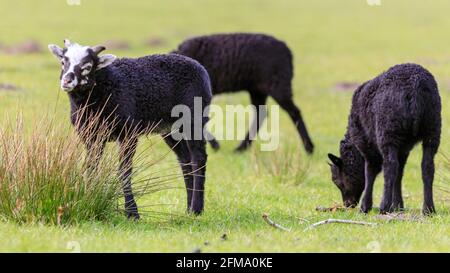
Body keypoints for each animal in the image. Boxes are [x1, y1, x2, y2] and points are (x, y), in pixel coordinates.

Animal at [48, 39, 211, 218]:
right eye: (63, 62)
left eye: (88, 66)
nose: (67, 81)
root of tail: (198, 66)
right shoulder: (91, 137)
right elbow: (91, 168)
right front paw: (88, 200)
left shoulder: (128, 133)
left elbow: (124, 171)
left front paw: (132, 212)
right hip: (170, 128)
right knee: (185, 160)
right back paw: (188, 209)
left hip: (194, 118)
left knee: (198, 158)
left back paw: (197, 208)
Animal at [174, 32, 314, 152]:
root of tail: (287, 50)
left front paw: (215, 145)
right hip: (257, 89)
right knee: (261, 114)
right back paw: (241, 148)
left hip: (278, 85)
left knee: (294, 112)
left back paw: (309, 148)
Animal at [328, 62, 442, 214]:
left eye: (335, 180)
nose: (348, 204)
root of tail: (415, 87)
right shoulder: (404, 148)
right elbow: (400, 173)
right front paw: (398, 205)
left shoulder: (366, 143)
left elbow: (370, 172)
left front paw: (366, 206)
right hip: (432, 129)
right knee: (427, 167)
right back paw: (428, 209)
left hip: (388, 132)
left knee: (390, 167)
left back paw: (384, 206)